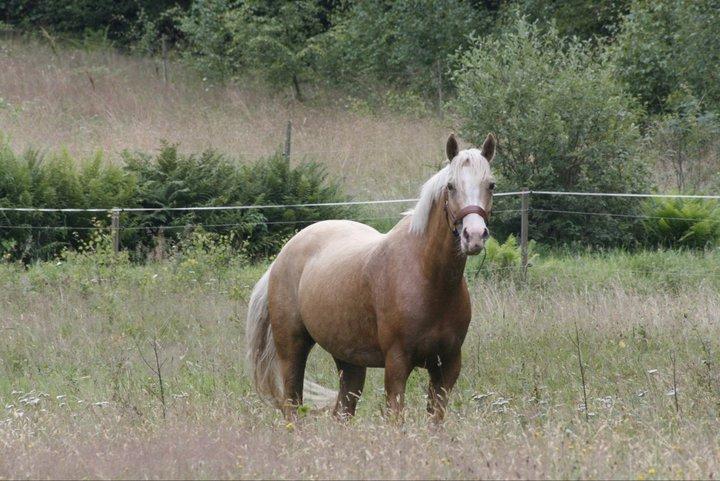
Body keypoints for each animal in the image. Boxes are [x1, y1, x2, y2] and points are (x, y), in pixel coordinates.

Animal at [248, 133, 496, 422]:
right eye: (451, 186)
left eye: (491, 185)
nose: (474, 236)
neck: (428, 278)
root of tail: (283, 255)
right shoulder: (397, 364)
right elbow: (396, 419)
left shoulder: (447, 366)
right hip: (292, 350)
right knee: (292, 406)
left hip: (349, 361)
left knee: (342, 412)